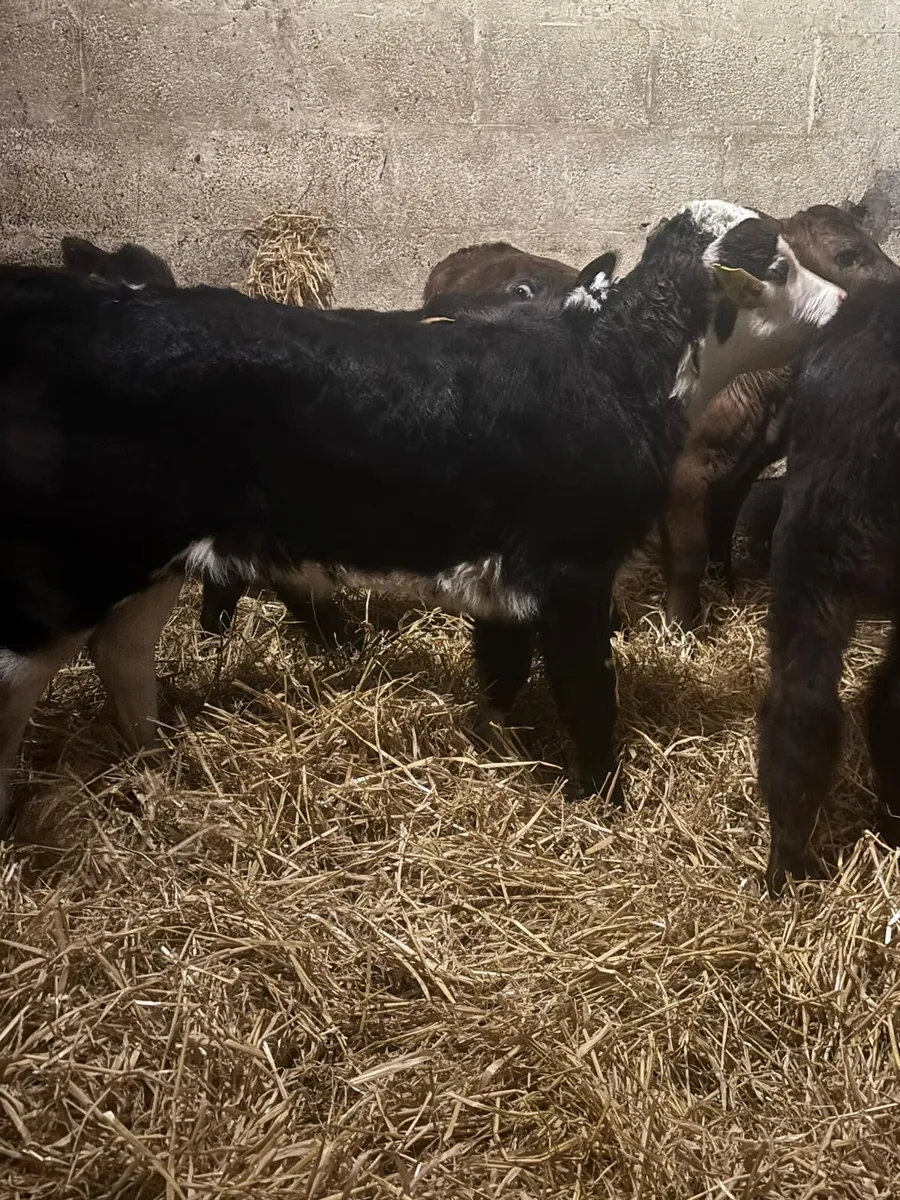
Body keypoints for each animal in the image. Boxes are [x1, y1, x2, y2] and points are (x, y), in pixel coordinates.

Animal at [0, 199, 844, 832]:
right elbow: (587, 694)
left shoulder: (504, 578)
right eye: (777, 264)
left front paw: (487, 746)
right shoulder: (572, 569)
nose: (842, 305)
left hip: (148, 556)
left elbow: (502, 671)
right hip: (66, 569)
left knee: (123, 654)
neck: (616, 371)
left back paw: (157, 763)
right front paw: (604, 799)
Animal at [661, 203, 898, 630]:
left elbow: (720, 534)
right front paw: (679, 628)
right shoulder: (684, 470)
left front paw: (728, 592)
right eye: (847, 255)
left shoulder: (743, 468)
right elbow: (689, 552)